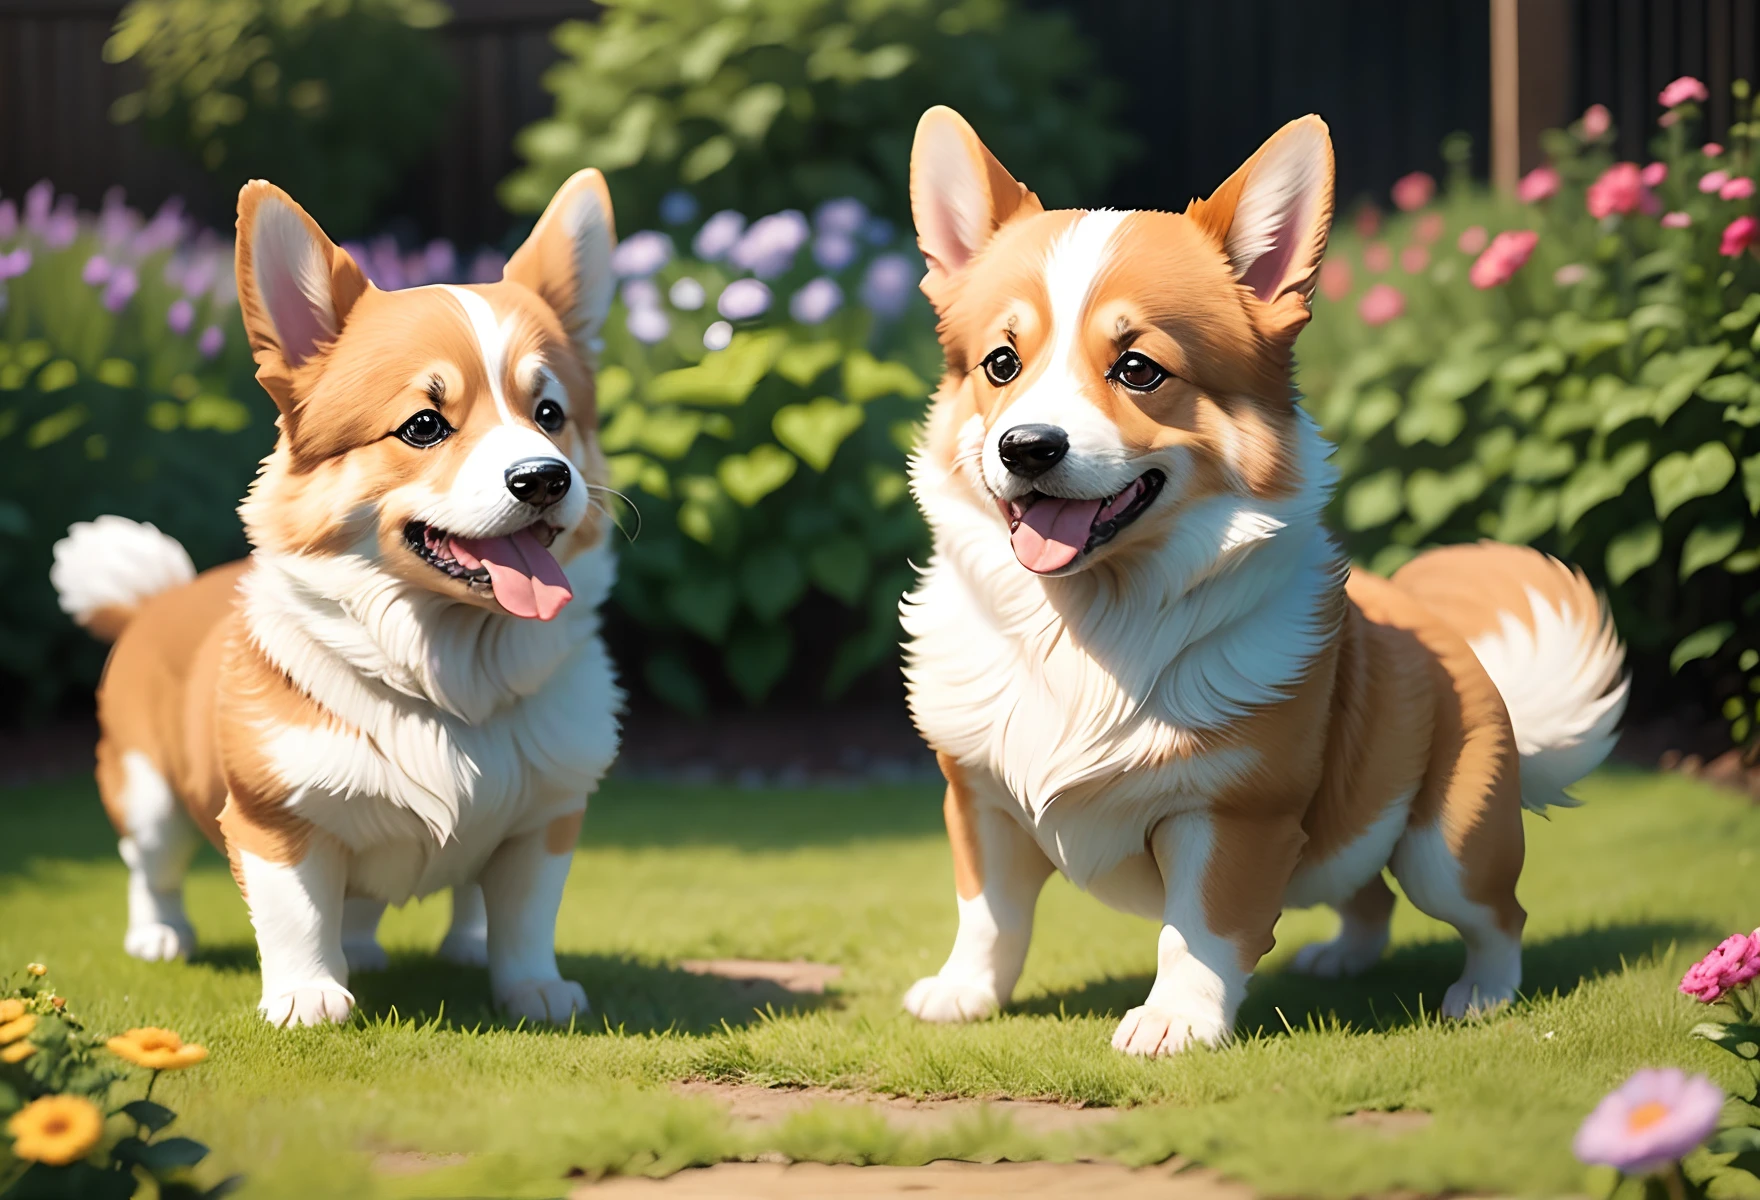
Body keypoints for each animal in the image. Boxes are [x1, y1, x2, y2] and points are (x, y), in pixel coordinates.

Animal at [51, 173, 626, 1020]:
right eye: (423, 425)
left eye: (549, 415)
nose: (545, 478)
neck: (452, 676)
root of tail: (155, 599)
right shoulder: (273, 814)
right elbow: (296, 911)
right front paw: (306, 997)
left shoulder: (546, 813)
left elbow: (523, 914)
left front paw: (533, 988)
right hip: (146, 789)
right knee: (149, 865)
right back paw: (160, 935)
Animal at [901, 107, 1626, 1048]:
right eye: (1000, 364)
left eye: (1138, 369)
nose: (1026, 448)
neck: (1086, 630)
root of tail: (1450, 637)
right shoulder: (980, 797)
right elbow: (989, 916)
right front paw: (965, 995)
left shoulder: (1230, 813)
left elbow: (1200, 931)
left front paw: (1174, 1023)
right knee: (1365, 893)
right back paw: (1345, 958)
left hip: (1448, 842)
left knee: (1495, 914)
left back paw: (1484, 993)